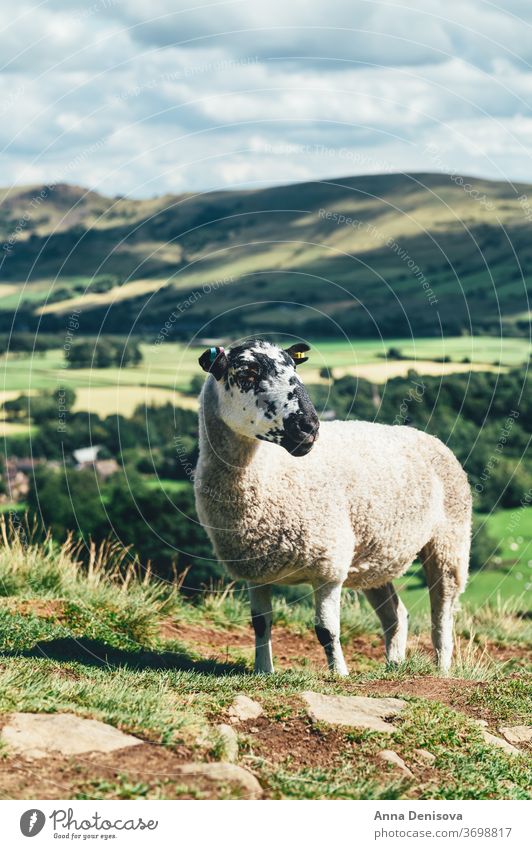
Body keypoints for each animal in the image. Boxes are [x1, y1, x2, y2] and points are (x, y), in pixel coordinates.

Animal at [193, 338, 472, 676]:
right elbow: (260, 624)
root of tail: (425, 435)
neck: (270, 471)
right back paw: (394, 665)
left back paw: (441, 669)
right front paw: (263, 670)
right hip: (374, 556)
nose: (309, 427)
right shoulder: (257, 571)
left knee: (442, 617)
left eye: (294, 366)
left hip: (449, 542)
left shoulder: (328, 565)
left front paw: (339, 674)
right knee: (396, 614)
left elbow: (326, 629)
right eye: (247, 373)